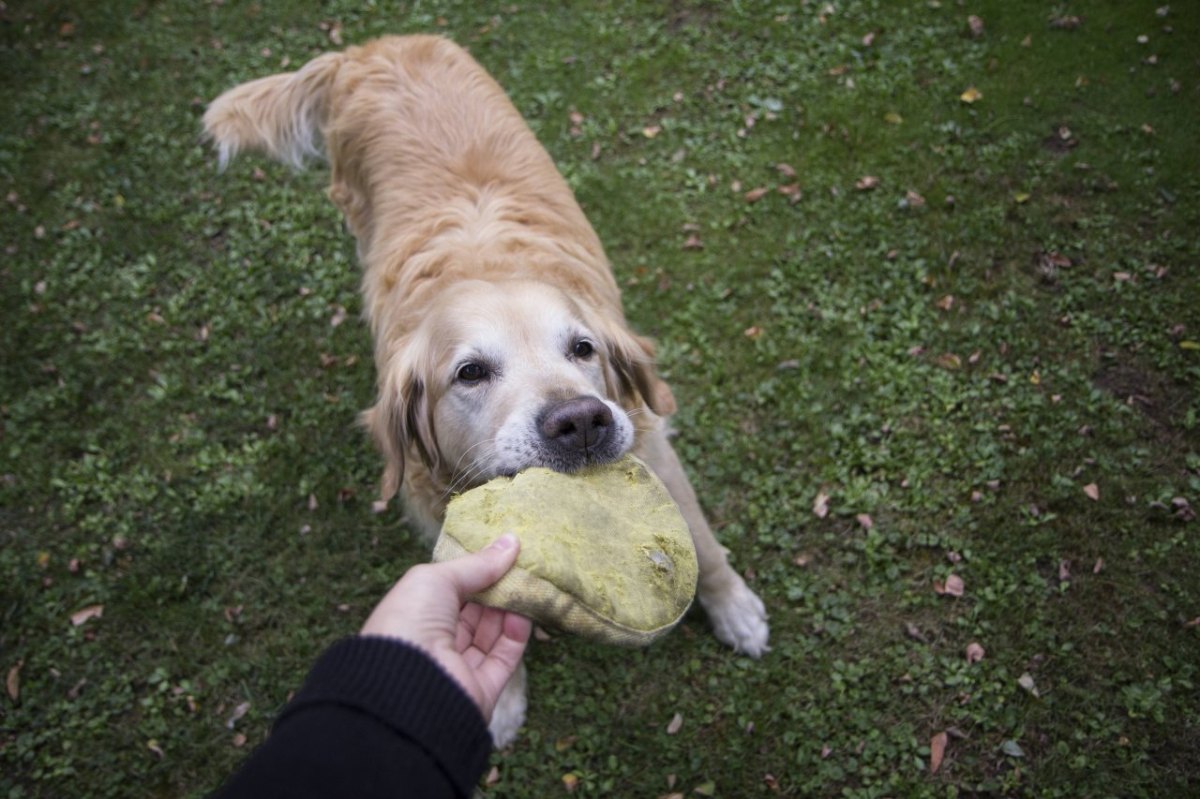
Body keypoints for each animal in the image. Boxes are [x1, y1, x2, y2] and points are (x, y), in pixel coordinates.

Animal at [205, 34, 768, 743]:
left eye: (582, 349)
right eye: (470, 372)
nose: (581, 422)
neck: (485, 265)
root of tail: (371, 47)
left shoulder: (653, 443)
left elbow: (703, 542)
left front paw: (735, 610)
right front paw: (495, 700)